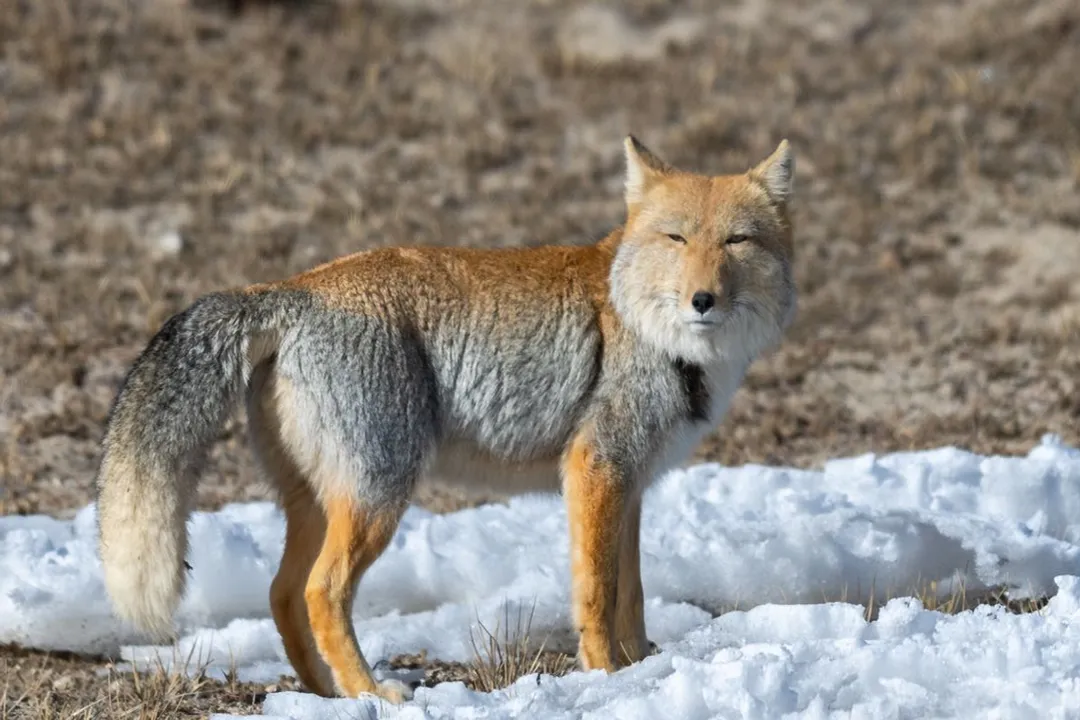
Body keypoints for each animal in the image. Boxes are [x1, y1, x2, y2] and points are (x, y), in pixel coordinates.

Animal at [95, 136, 796, 703]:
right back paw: (370, 692)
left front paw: (638, 671)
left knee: (282, 593)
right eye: (676, 238)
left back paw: (326, 693)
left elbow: (634, 596)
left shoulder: (630, 486)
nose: (703, 299)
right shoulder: (597, 471)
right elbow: (598, 596)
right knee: (322, 592)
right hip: (380, 497)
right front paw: (606, 677)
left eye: (736, 241)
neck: (650, 331)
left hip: (320, 504)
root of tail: (292, 288)